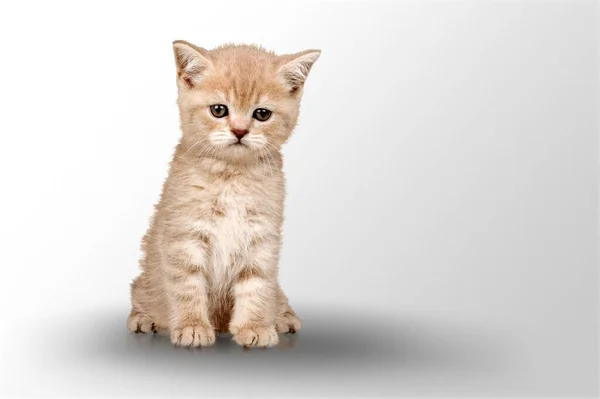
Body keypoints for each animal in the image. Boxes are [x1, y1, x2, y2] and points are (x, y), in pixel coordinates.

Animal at [127, 39, 322, 346]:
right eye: (219, 110)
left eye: (262, 114)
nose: (240, 131)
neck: (232, 175)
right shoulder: (184, 235)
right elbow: (187, 284)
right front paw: (192, 326)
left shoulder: (262, 237)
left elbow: (257, 285)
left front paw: (255, 326)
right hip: (145, 280)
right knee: (141, 292)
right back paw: (145, 319)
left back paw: (283, 317)